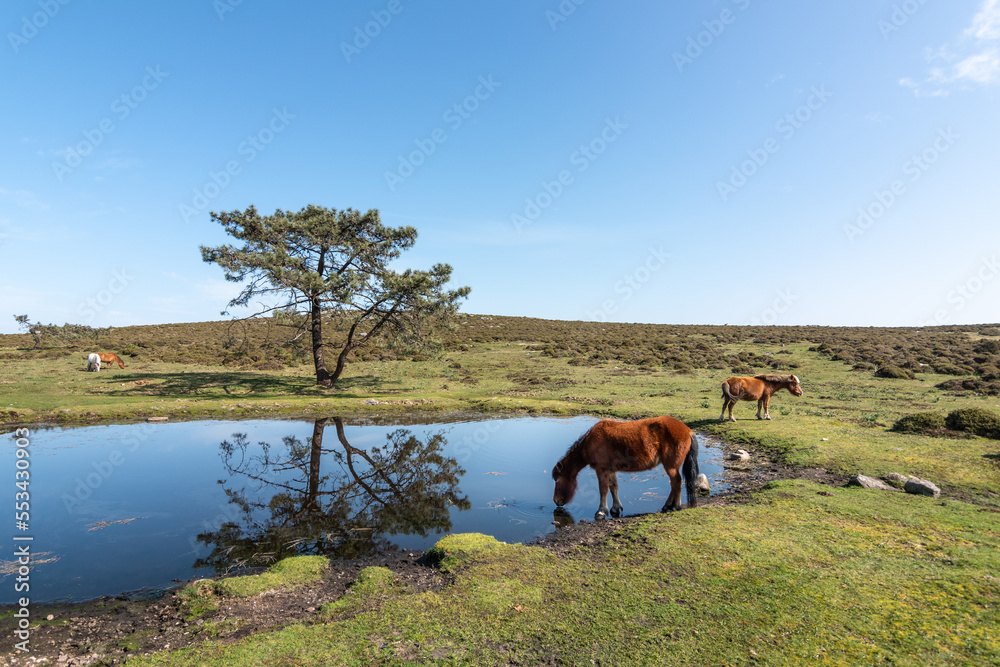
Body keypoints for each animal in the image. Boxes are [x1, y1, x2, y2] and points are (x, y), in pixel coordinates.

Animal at [552, 416, 700, 518]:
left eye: (557, 480)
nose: (556, 501)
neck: (591, 441)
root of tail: (687, 430)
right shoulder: (610, 470)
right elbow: (613, 488)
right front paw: (615, 508)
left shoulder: (601, 470)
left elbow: (603, 490)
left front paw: (601, 511)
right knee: (674, 484)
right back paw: (667, 505)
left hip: (671, 467)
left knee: (676, 483)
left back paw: (675, 506)